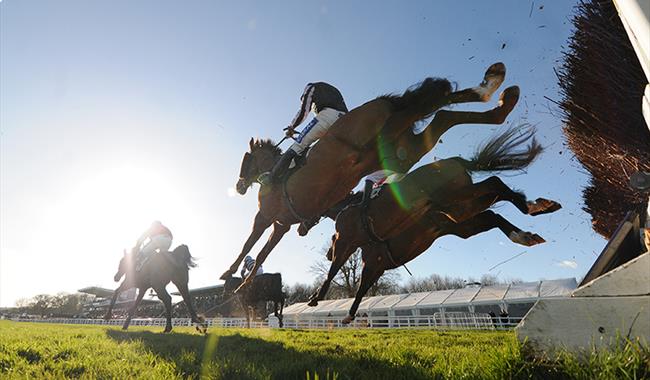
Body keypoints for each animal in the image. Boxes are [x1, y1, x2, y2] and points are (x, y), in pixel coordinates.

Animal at [225, 62, 520, 290]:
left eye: (245, 160)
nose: (239, 186)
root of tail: (380, 103)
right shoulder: (282, 224)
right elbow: (262, 253)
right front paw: (242, 282)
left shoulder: (266, 217)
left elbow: (249, 246)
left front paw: (230, 274)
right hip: (400, 149)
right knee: (442, 113)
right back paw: (500, 98)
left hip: (389, 137)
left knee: (431, 105)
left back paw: (495, 89)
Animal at [306, 127, 560, 320]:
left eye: (331, 239)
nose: (301, 228)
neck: (350, 205)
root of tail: (455, 161)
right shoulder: (375, 263)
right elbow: (362, 286)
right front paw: (350, 313)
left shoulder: (347, 241)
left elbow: (334, 271)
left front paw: (317, 297)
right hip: (461, 214)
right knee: (492, 213)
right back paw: (527, 229)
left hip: (457, 197)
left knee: (495, 182)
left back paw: (533, 209)